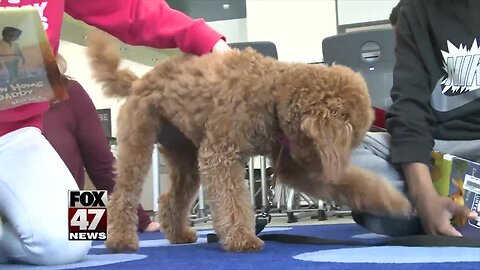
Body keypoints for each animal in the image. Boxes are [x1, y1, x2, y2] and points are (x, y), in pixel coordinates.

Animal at [85, 30, 408, 252]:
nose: (336, 161)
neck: (273, 94)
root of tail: (137, 81)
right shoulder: (220, 154)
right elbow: (232, 201)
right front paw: (242, 238)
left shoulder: (295, 165)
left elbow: (356, 182)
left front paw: (392, 200)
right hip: (138, 143)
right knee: (123, 194)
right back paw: (121, 241)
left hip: (184, 154)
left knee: (170, 198)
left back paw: (179, 235)